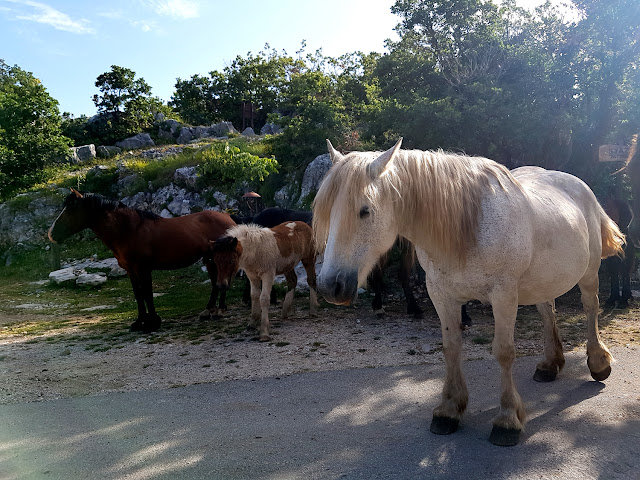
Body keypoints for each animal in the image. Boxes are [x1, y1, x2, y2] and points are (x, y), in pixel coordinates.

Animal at [48, 189, 235, 332]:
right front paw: (139, 322)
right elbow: (138, 294)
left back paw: (218, 310)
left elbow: (147, 293)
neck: (129, 230)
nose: (51, 234)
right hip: (209, 259)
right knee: (216, 282)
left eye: (70, 210)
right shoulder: (130, 269)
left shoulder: (143, 268)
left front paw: (152, 323)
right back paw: (210, 310)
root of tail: (229, 218)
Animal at [312, 139, 624, 446]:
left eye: (365, 210)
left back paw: (598, 362)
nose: (330, 286)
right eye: (328, 212)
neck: (469, 225)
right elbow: (451, 348)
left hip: (589, 273)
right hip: (544, 280)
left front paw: (507, 419)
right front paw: (449, 410)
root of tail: (579, 186)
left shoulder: (503, 295)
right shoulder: (442, 295)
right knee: (548, 312)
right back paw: (550, 364)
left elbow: (504, 352)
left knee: (590, 307)